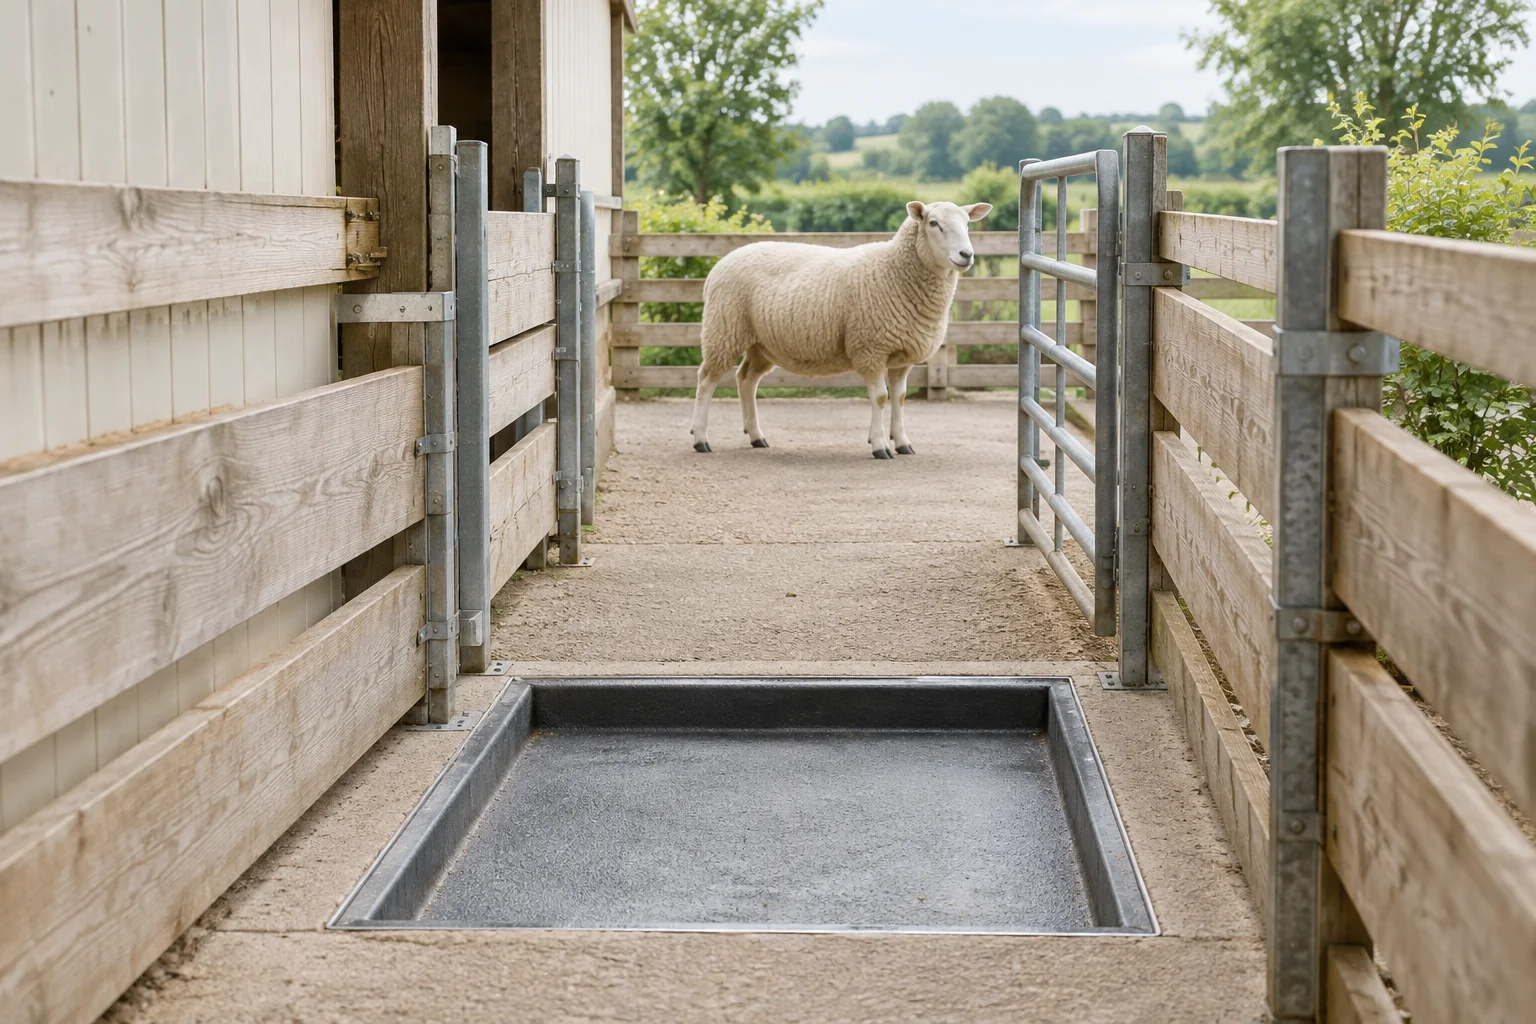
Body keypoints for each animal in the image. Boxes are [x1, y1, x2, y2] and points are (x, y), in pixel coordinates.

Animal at [688, 200, 993, 458]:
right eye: (933, 223)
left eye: (968, 223)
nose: (967, 255)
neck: (895, 270)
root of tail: (720, 264)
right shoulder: (870, 348)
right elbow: (880, 397)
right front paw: (880, 446)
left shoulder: (901, 355)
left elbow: (900, 398)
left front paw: (902, 442)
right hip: (724, 328)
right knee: (707, 379)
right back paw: (700, 438)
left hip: (761, 343)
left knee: (746, 379)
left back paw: (756, 436)